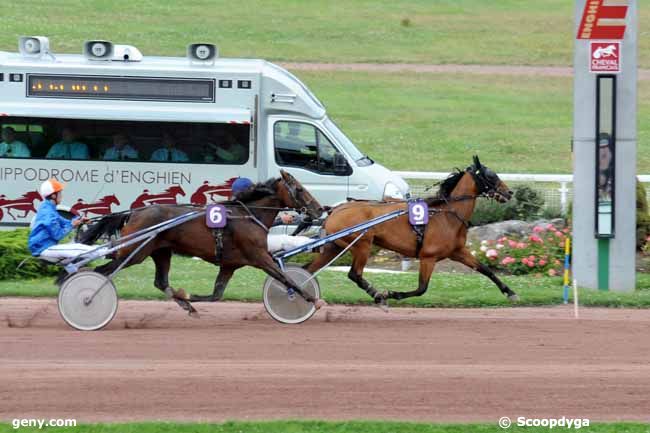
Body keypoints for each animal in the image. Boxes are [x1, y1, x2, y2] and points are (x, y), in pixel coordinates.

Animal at [302, 157, 516, 306]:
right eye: (491, 175)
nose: (509, 192)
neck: (447, 215)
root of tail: (334, 210)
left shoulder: (458, 252)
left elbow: (485, 269)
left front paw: (510, 292)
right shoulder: (428, 257)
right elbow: (422, 288)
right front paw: (391, 293)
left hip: (335, 246)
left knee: (308, 270)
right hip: (362, 244)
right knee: (355, 274)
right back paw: (377, 294)